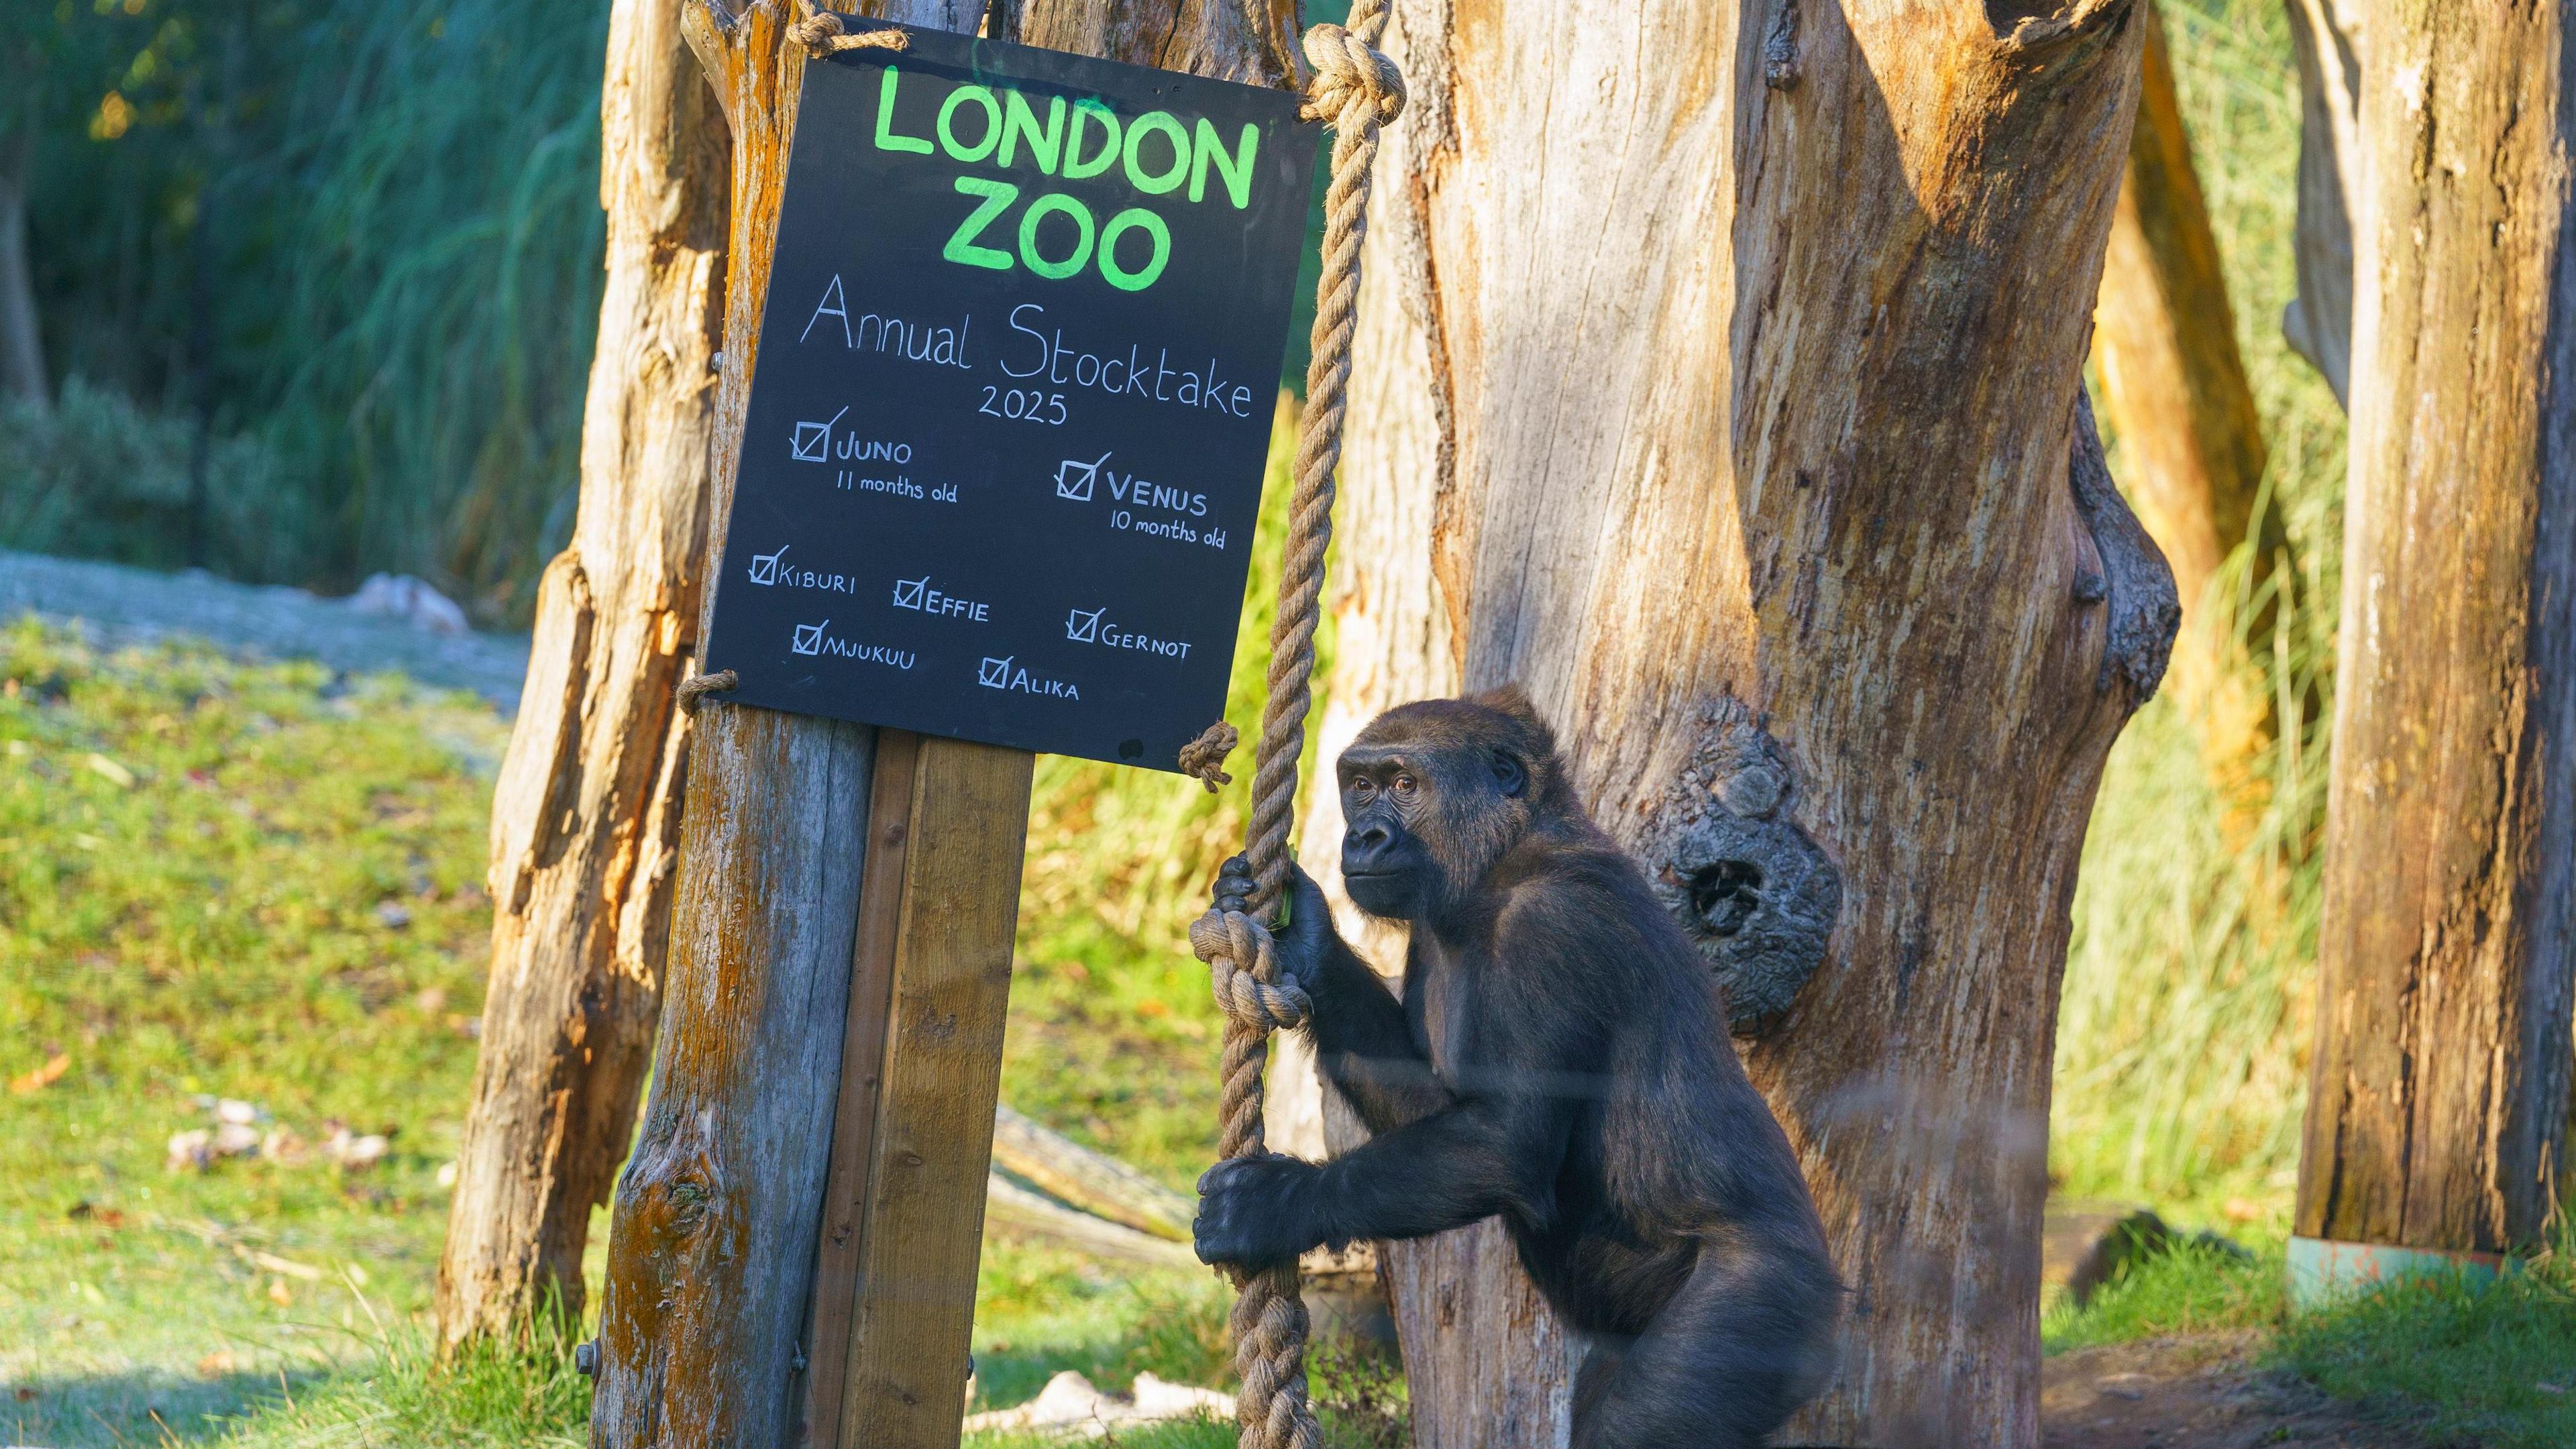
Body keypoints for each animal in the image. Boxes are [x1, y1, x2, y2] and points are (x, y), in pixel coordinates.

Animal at [1195, 686, 1844, 1444]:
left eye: (1405, 785)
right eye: (1360, 787)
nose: (1364, 838)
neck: (1505, 855)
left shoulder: (1550, 928)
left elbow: (1503, 1139)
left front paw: (1271, 1204)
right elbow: (1435, 1110)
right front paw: (1308, 940)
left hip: (1769, 1313)